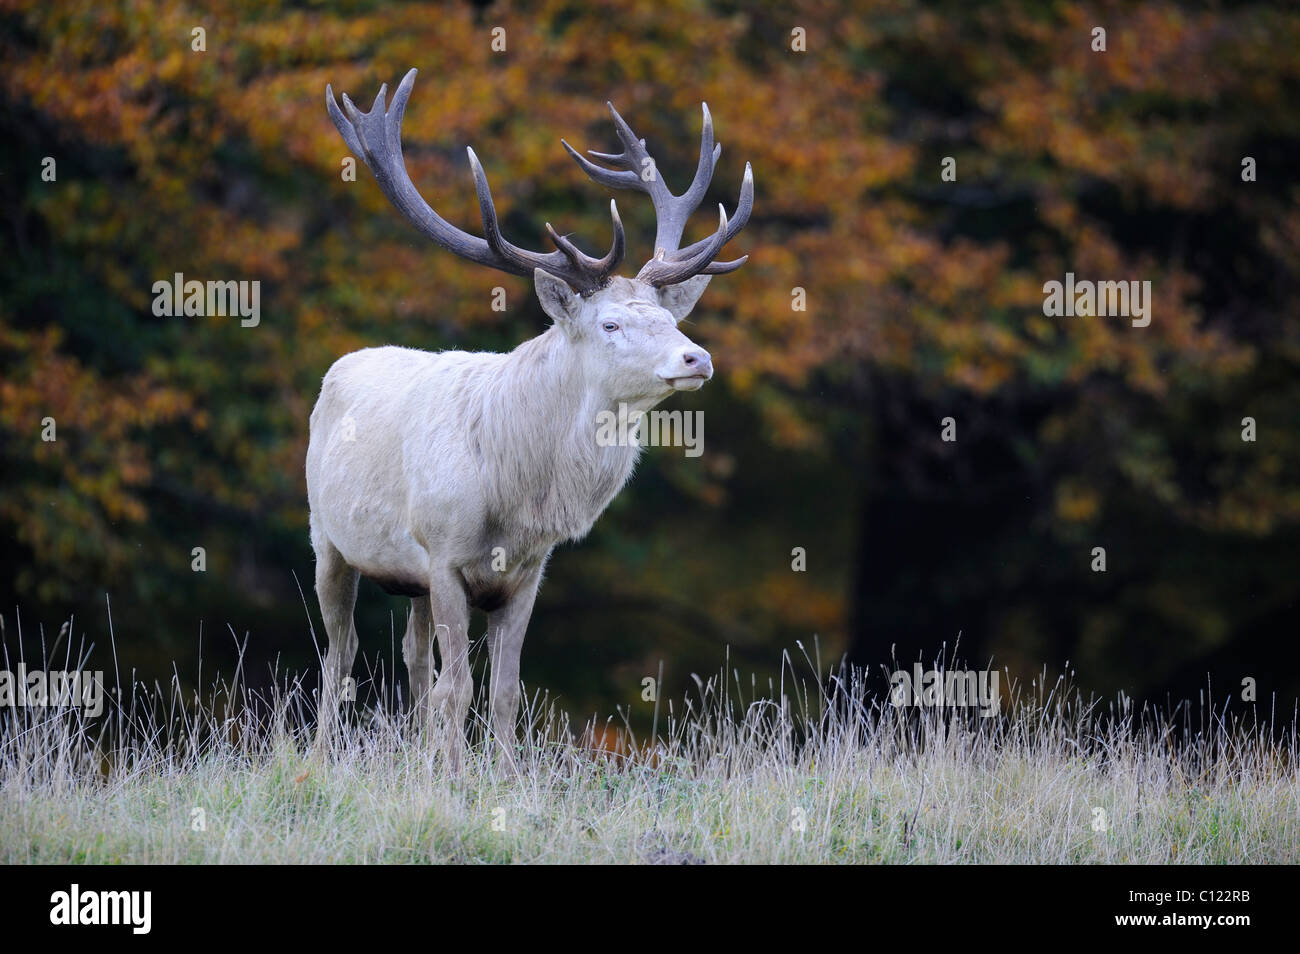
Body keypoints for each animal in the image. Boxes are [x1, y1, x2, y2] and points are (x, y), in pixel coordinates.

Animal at [308, 67, 748, 769]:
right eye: (610, 324)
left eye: (670, 318)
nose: (697, 356)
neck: (516, 496)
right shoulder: (444, 553)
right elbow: (459, 688)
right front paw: (452, 777)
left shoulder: (527, 572)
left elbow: (506, 691)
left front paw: (501, 775)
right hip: (329, 536)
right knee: (343, 652)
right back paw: (322, 757)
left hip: (408, 578)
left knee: (413, 659)